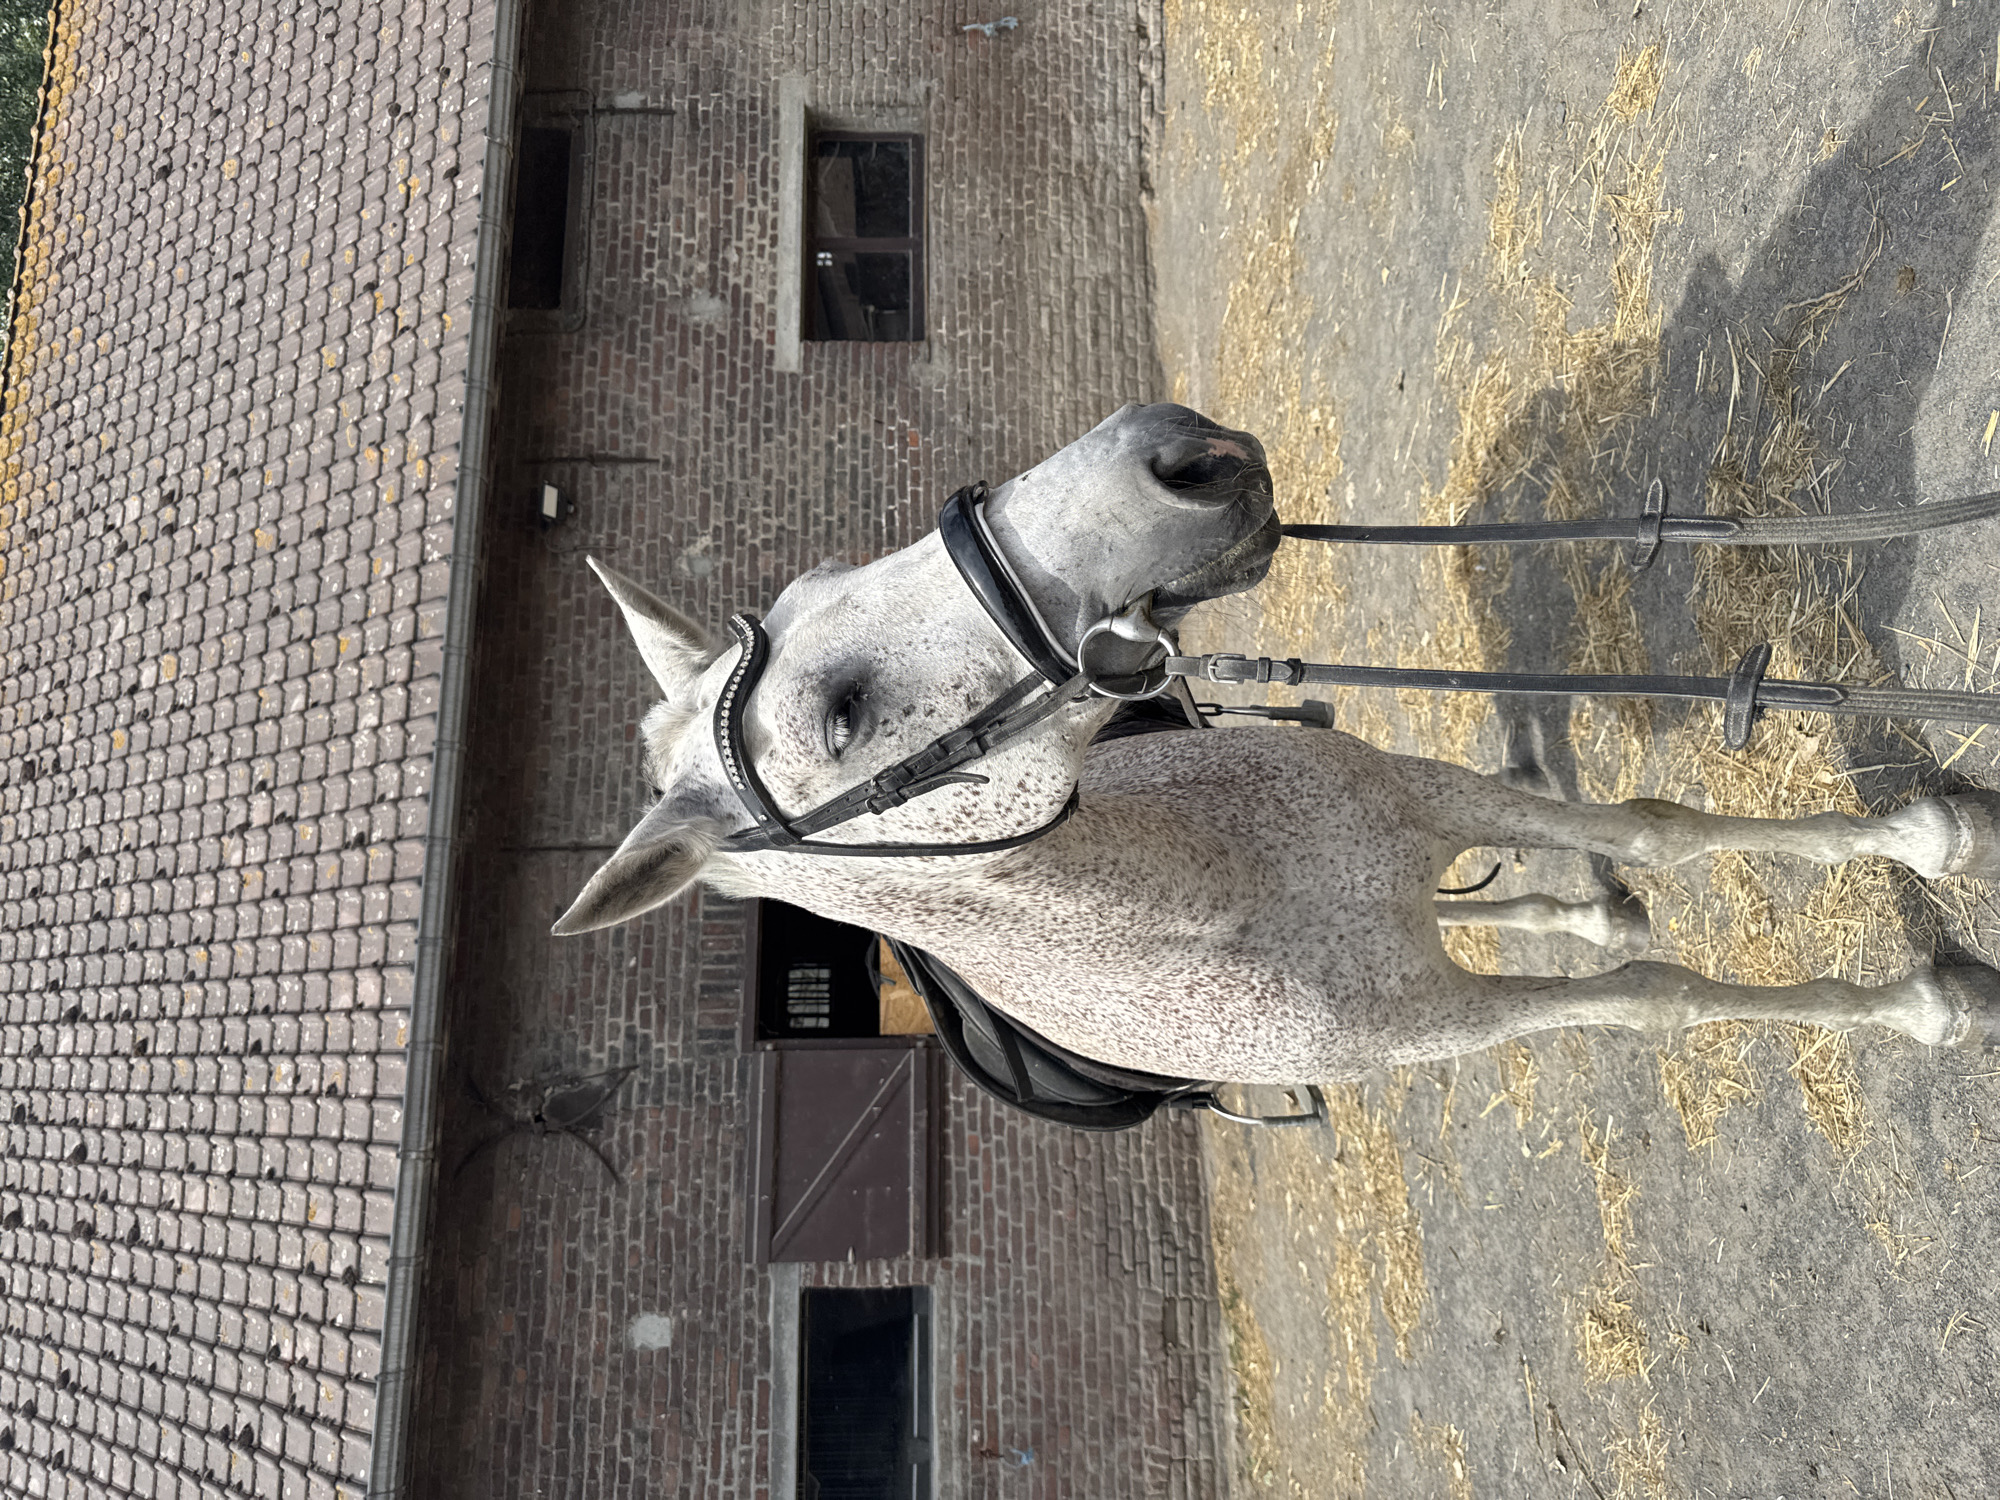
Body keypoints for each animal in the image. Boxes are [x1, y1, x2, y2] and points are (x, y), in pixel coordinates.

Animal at [552, 403, 1999, 1083]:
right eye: (839, 712)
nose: (1169, 453)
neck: (1225, 897)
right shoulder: (1444, 1025)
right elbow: (1656, 996)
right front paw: (1930, 1004)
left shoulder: (1429, 798)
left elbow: (1655, 829)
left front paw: (1935, 835)